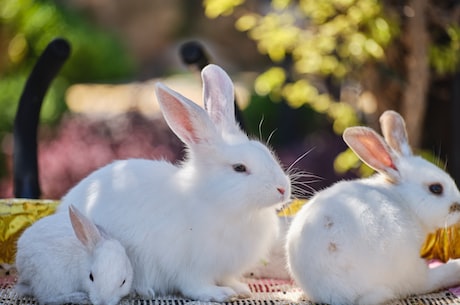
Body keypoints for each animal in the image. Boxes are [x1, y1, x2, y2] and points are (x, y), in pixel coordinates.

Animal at [55, 64, 290, 302]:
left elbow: (227, 278)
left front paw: (240, 288)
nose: (283, 188)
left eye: (266, 151)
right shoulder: (191, 266)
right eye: (239, 168)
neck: (216, 202)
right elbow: (195, 286)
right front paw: (219, 293)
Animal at [288, 110, 460, 304]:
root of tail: (337, 294)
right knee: (426, 281)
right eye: (436, 188)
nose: (458, 206)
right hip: (409, 268)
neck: (403, 199)